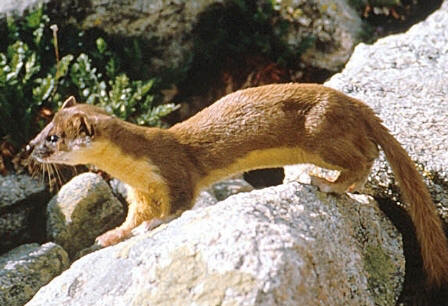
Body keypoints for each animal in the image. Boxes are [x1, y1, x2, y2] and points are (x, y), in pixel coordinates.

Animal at [28, 82, 448, 286]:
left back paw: (327, 183)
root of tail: (355, 104)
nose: (30, 147)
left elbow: (178, 205)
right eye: (44, 128)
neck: (136, 170)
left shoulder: (174, 173)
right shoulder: (140, 192)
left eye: (54, 138)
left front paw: (153, 225)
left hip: (323, 133)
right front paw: (109, 235)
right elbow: (132, 217)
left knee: (365, 157)